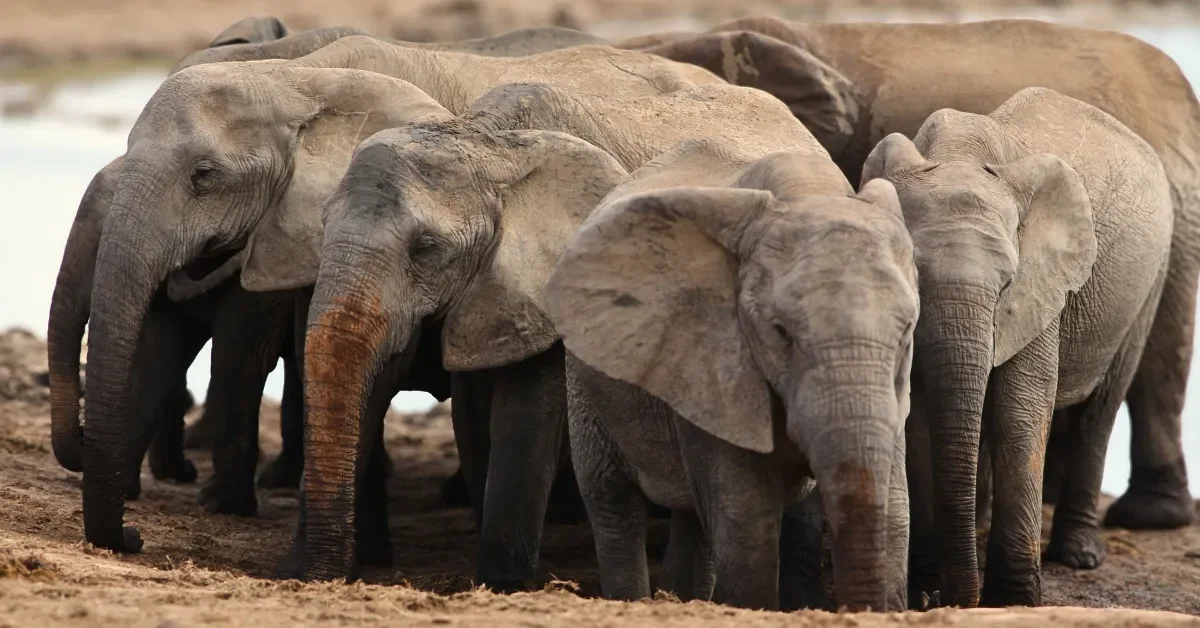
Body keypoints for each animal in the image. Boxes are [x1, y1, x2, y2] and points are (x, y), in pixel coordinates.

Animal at [278, 74, 855, 586]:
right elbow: (394, 384)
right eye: (322, 227)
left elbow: (526, 413)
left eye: (426, 248)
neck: (486, 142)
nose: (323, 576)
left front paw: (504, 585)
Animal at [862, 87, 1173, 607]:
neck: (961, 154)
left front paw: (1011, 600)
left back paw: (1078, 556)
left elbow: (1019, 412)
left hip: (1151, 280)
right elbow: (921, 416)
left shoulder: (1043, 288)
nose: (952, 599)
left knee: (1100, 408)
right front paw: (926, 592)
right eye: (910, 272)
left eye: (1008, 282)